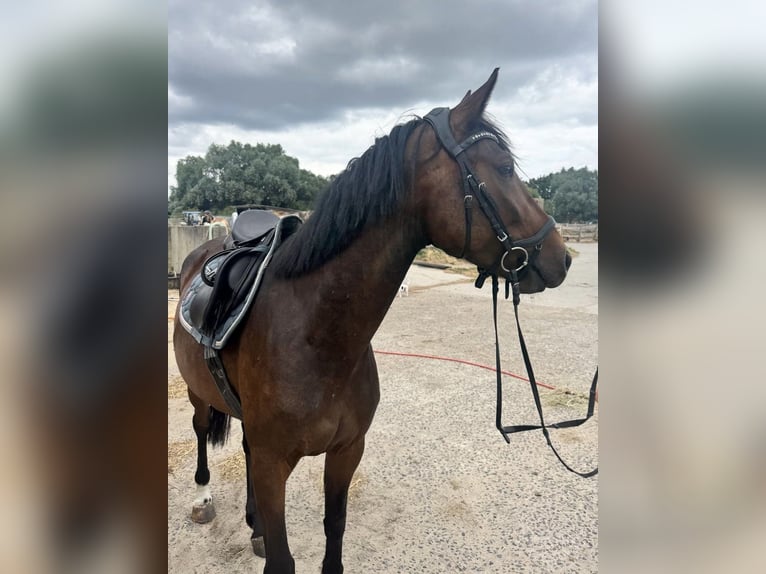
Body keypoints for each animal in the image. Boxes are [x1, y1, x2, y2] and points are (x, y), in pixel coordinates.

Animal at [173, 69, 571, 574]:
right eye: (503, 168)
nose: (562, 257)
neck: (316, 335)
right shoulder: (272, 461)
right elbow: (283, 559)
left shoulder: (346, 451)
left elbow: (334, 531)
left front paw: (270, 529)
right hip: (198, 393)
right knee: (201, 431)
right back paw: (204, 499)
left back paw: (254, 525)